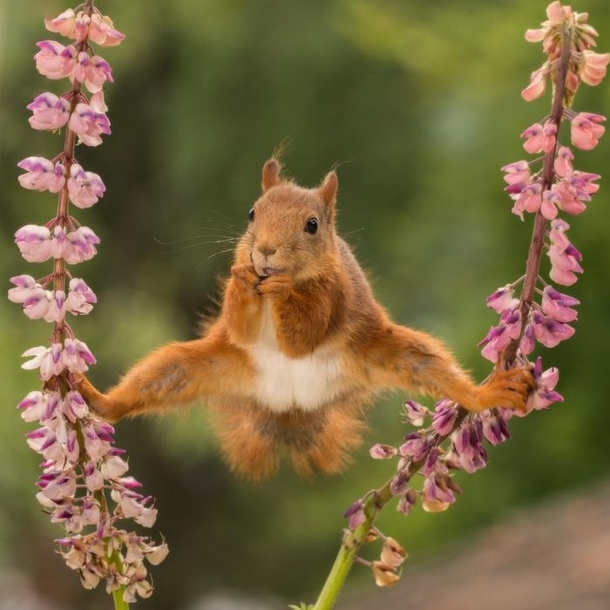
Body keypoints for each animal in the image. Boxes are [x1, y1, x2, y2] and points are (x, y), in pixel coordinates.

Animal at [79, 159, 532, 478]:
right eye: (251, 213)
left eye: (312, 225)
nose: (264, 251)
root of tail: (291, 407)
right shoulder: (240, 325)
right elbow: (242, 328)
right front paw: (243, 279)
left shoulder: (334, 296)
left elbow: (303, 337)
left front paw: (282, 292)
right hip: (199, 365)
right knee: (154, 380)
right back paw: (95, 398)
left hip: (390, 353)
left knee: (435, 370)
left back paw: (488, 393)